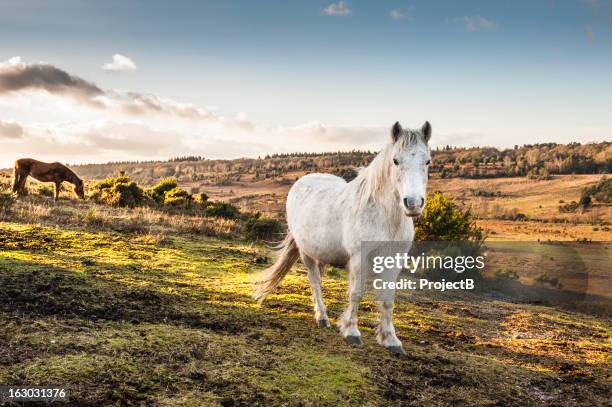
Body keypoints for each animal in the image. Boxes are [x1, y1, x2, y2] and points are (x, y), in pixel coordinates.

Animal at [256, 120, 432, 354]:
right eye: (396, 160)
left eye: (427, 161)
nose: (413, 203)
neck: (384, 215)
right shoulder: (359, 258)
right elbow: (356, 293)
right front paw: (351, 331)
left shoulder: (393, 260)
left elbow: (387, 300)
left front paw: (391, 340)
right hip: (306, 253)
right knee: (314, 281)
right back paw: (322, 317)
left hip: (322, 253)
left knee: (318, 278)